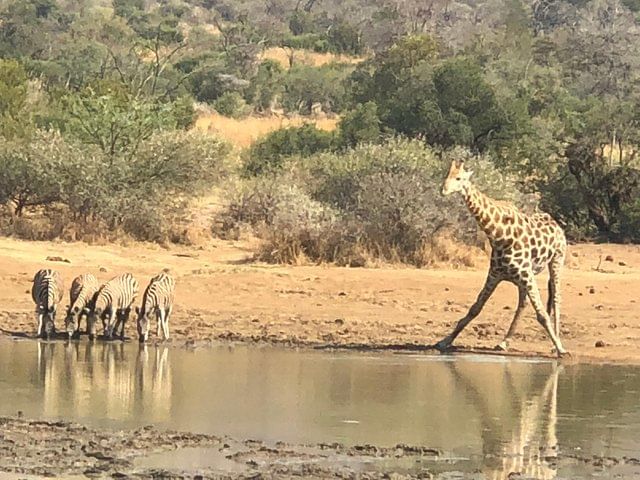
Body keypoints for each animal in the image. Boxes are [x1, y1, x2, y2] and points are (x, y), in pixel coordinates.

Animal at [434, 160, 568, 357]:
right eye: (446, 175)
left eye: (459, 178)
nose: (443, 190)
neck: (498, 235)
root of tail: (555, 222)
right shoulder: (494, 274)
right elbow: (475, 308)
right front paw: (445, 341)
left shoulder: (526, 275)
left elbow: (542, 314)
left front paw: (560, 348)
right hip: (525, 277)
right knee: (523, 303)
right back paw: (504, 342)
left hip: (556, 260)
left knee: (557, 298)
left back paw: (555, 342)